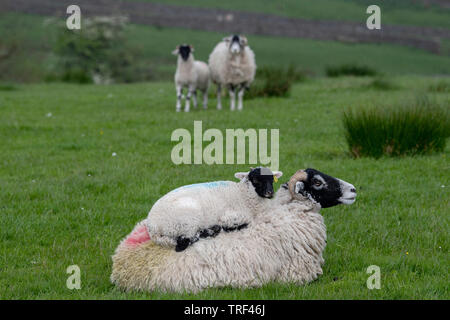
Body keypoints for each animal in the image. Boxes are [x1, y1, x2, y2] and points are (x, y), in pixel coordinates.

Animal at [146, 166, 284, 251]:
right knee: (184, 241)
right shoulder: (230, 217)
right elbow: (243, 223)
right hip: (187, 220)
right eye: (255, 179)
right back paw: (213, 230)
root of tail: (153, 228)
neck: (243, 194)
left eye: (272, 179)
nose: (270, 192)